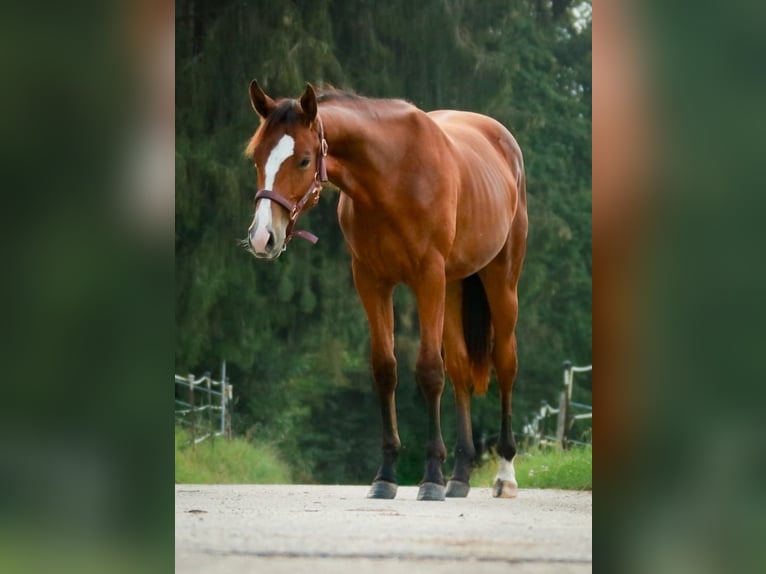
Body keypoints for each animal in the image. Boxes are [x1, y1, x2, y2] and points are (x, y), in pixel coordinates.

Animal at [244, 82, 528, 504]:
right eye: (257, 158)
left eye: (304, 160)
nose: (263, 238)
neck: (392, 176)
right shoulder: (371, 281)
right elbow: (385, 369)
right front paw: (387, 475)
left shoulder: (428, 278)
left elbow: (429, 371)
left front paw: (431, 477)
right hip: (454, 285)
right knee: (461, 369)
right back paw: (460, 475)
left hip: (501, 280)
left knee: (505, 363)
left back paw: (504, 474)